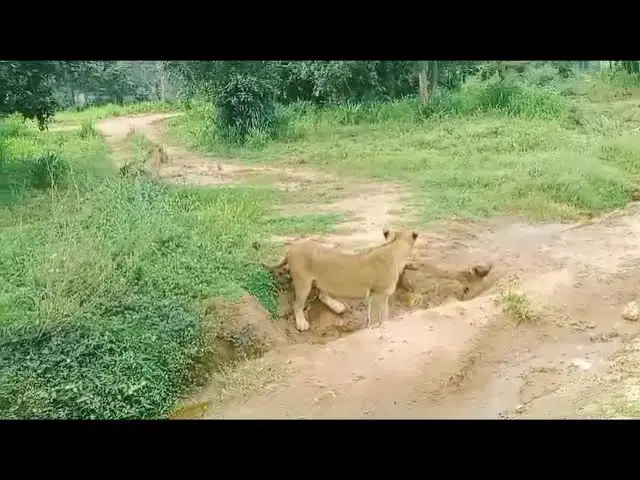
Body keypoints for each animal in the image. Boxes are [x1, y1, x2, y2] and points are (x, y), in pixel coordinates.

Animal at [272, 228, 419, 331]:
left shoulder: (383, 295)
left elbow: (384, 314)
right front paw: (374, 328)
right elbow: (375, 316)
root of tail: (292, 247)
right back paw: (301, 323)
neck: (395, 248)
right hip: (303, 282)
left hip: (323, 279)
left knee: (322, 295)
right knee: (297, 304)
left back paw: (337, 306)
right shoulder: (378, 294)